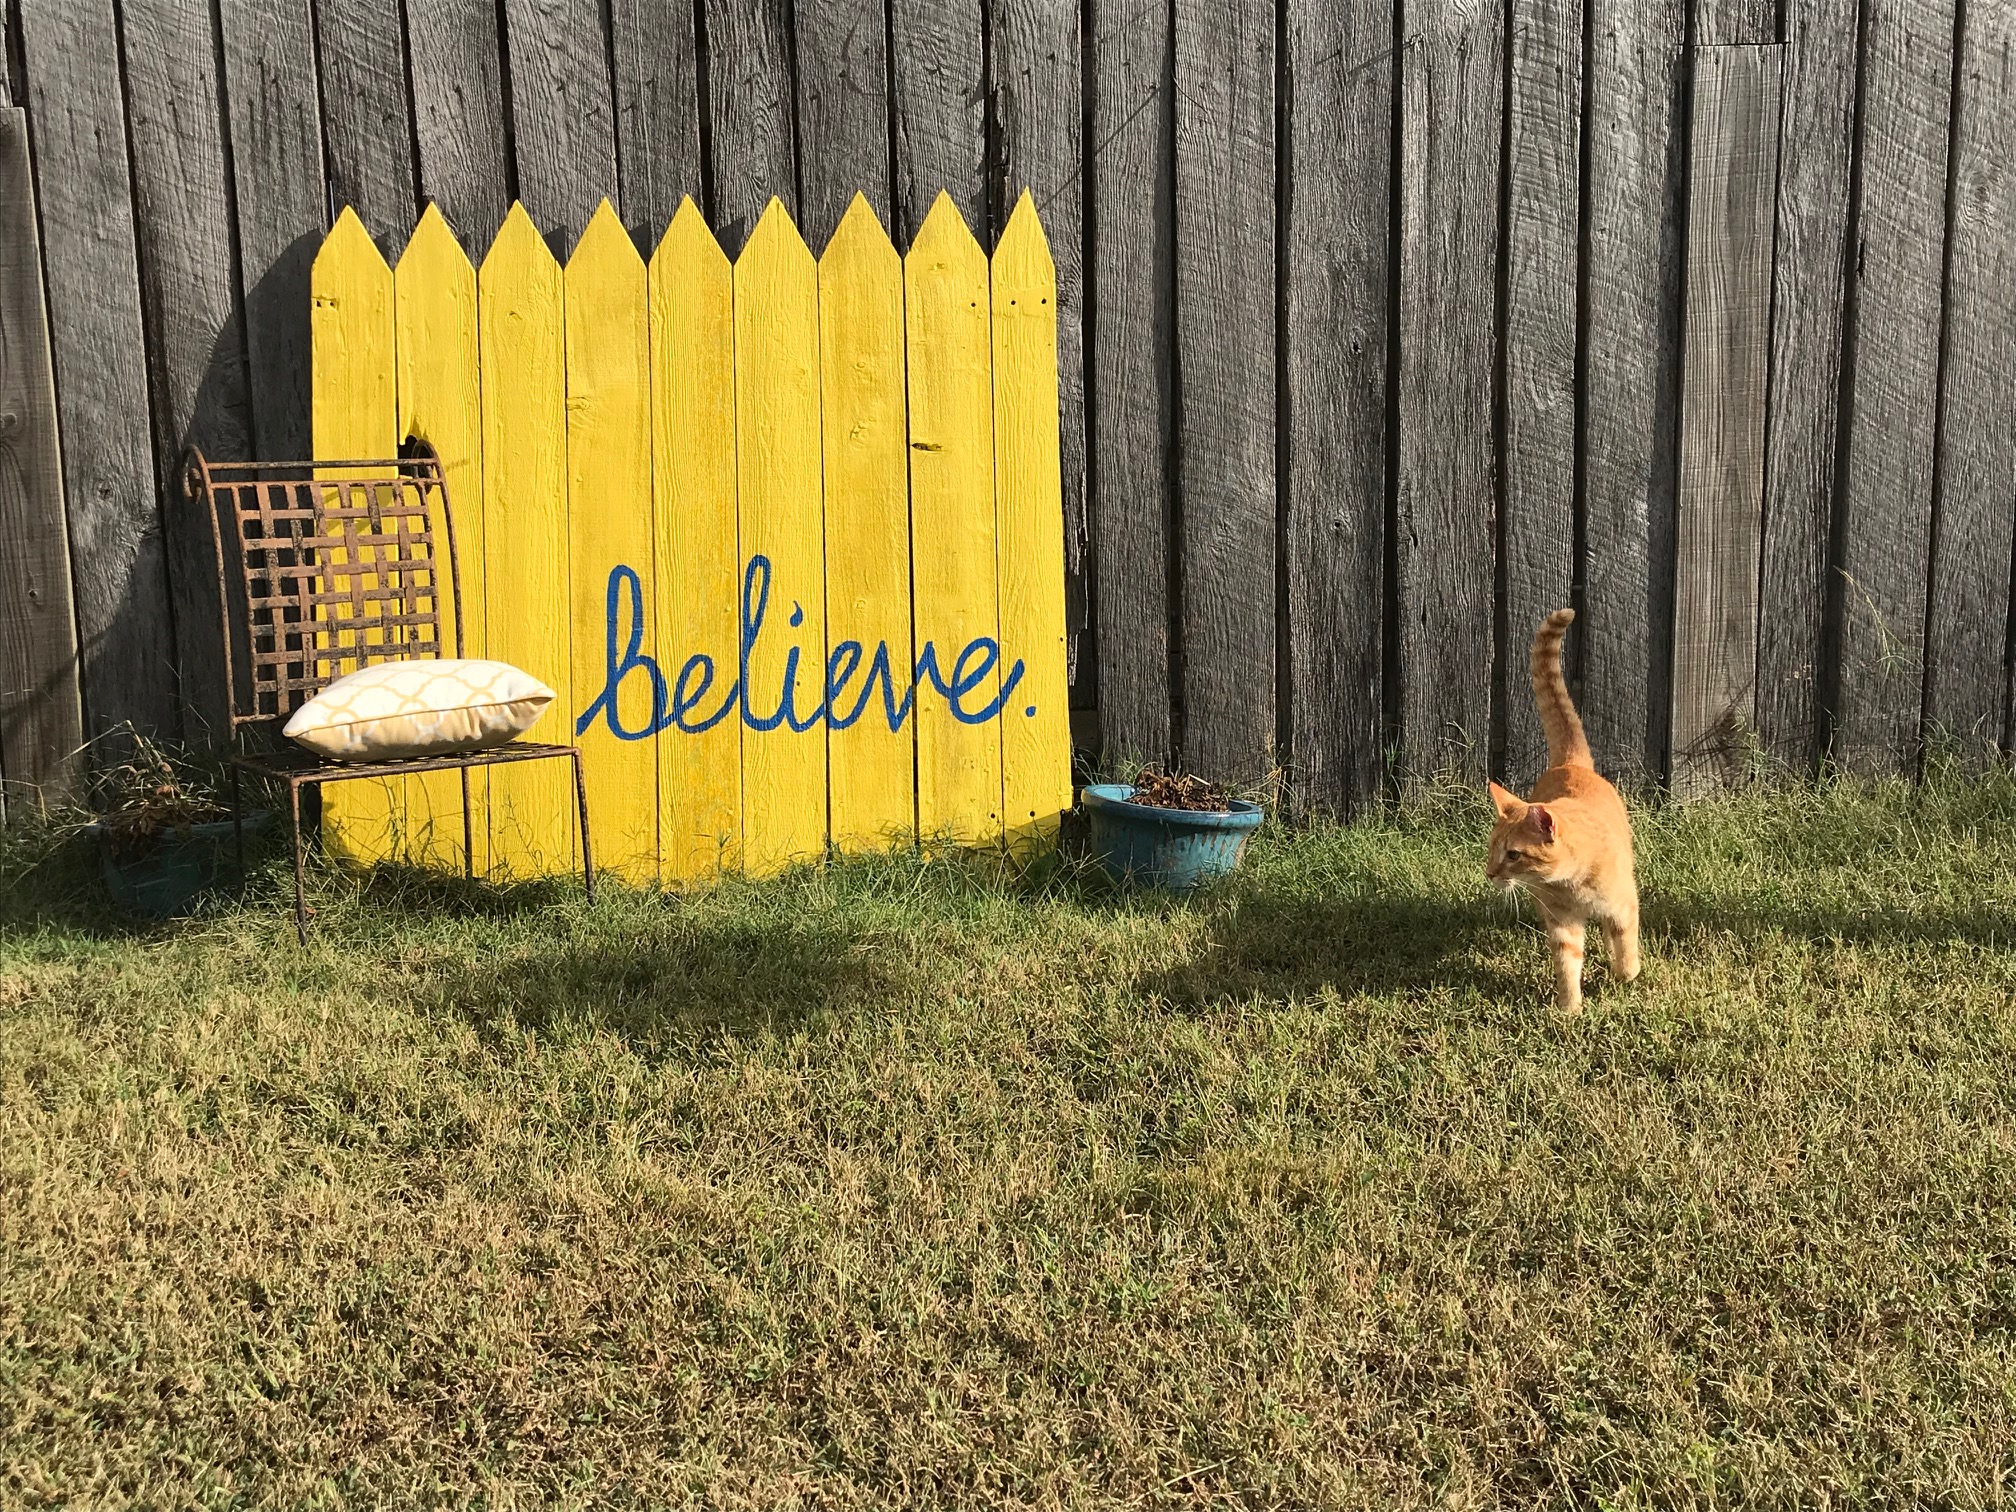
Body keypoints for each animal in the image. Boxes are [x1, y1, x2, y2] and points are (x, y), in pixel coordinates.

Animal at [1483, 608, 1636, 1012]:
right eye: (1491, 850)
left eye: (1513, 855)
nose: (1490, 874)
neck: (1571, 884)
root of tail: (1570, 764)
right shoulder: (1562, 924)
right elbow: (1568, 965)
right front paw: (1570, 1009)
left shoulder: (1624, 906)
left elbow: (1626, 948)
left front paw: (1624, 977)